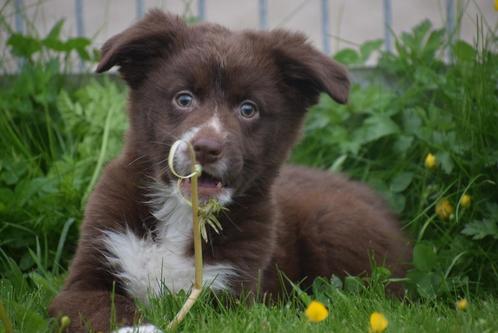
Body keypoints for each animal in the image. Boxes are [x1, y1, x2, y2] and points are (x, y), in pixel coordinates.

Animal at [48, 9, 410, 330]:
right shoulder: (86, 277)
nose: (206, 147)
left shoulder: (232, 297)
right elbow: (106, 309)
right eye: (183, 99)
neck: (181, 216)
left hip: (332, 223)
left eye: (248, 109)